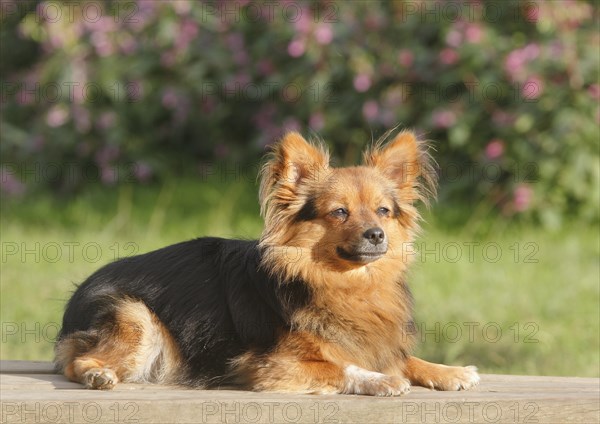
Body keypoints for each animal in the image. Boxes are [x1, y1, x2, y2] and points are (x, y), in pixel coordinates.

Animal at [55, 131, 478, 396]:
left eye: (383, 211)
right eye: (340, 212)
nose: (376, 234)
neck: (345, 283)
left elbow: (403, 359)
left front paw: (448, 371)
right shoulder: (269, 365)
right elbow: (340, 367)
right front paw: (379, 380)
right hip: (135, 317)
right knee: (76, 362)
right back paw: (97, 373)